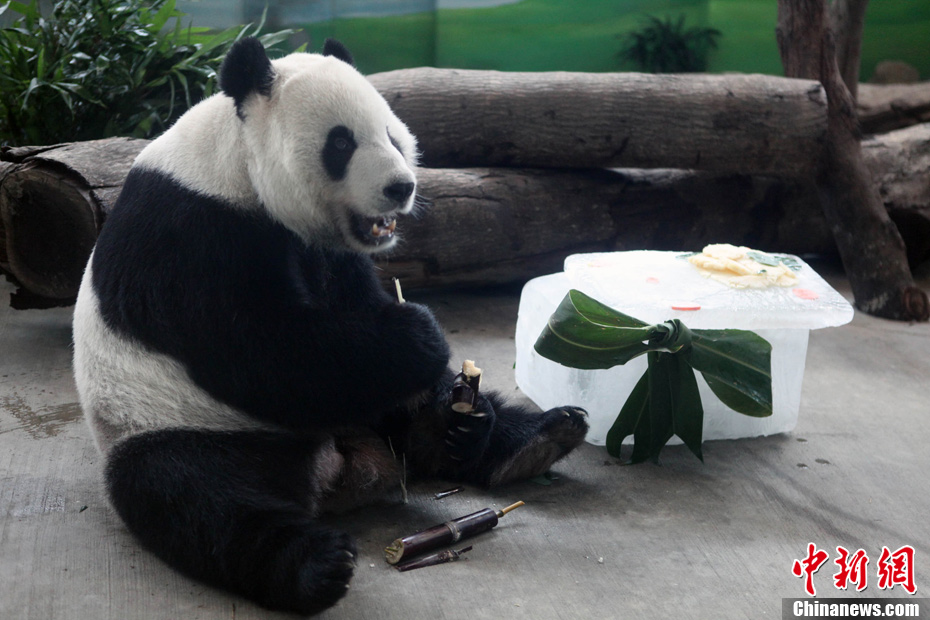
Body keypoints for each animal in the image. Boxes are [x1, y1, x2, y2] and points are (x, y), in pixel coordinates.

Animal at [76, 38, 592, 616]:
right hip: (175, 424)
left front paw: (453, 402)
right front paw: (419, 333)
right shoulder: (192, 234)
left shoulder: (329, 252)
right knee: (196, 496)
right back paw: (315, 566)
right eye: (341, 143)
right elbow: (261, 351)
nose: (400, 187)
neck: (236, 166)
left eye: (392, 135)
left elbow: (353, 314)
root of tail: (344, 467)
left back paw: (512, 434)